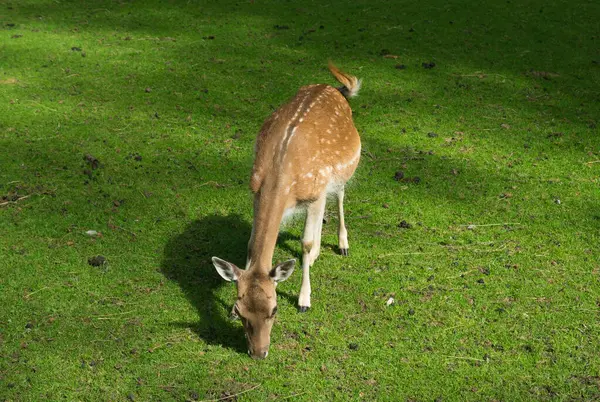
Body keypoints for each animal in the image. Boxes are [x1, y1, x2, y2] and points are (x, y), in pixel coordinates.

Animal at [211, 63, 360, 362]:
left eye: (275, 310)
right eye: (240, 311)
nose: (259, 353)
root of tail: (335, 89)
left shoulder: (315, 190)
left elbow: (305, 242)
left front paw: (304, 300)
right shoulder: (256, 190)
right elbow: (252, 243)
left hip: (342, 169)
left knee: (339, 195)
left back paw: (342, 244)